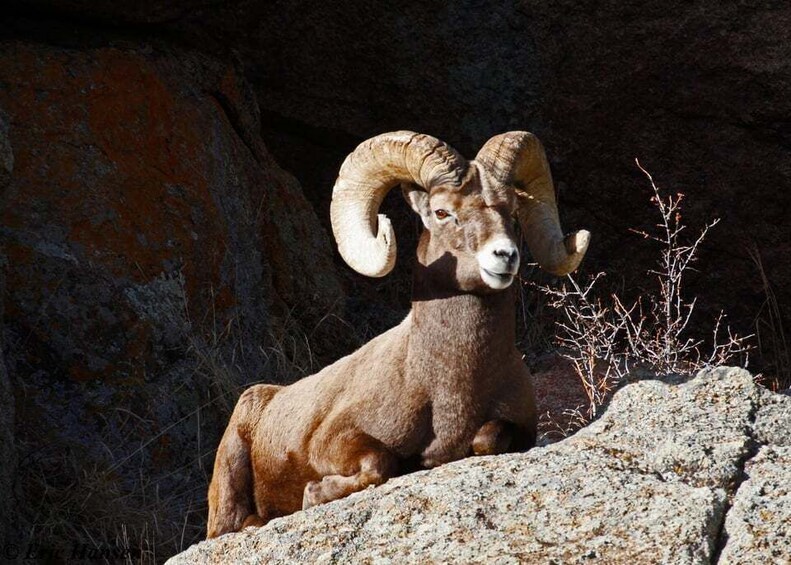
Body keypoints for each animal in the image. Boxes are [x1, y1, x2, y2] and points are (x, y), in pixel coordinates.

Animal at [207, 130, 592, 536]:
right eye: (442, 212)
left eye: (514, 213)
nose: (504, 256)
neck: (448, 382)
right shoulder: (332, 441)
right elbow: (380, 463)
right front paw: (314, 493)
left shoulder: (517, 427)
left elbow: (488, 438)